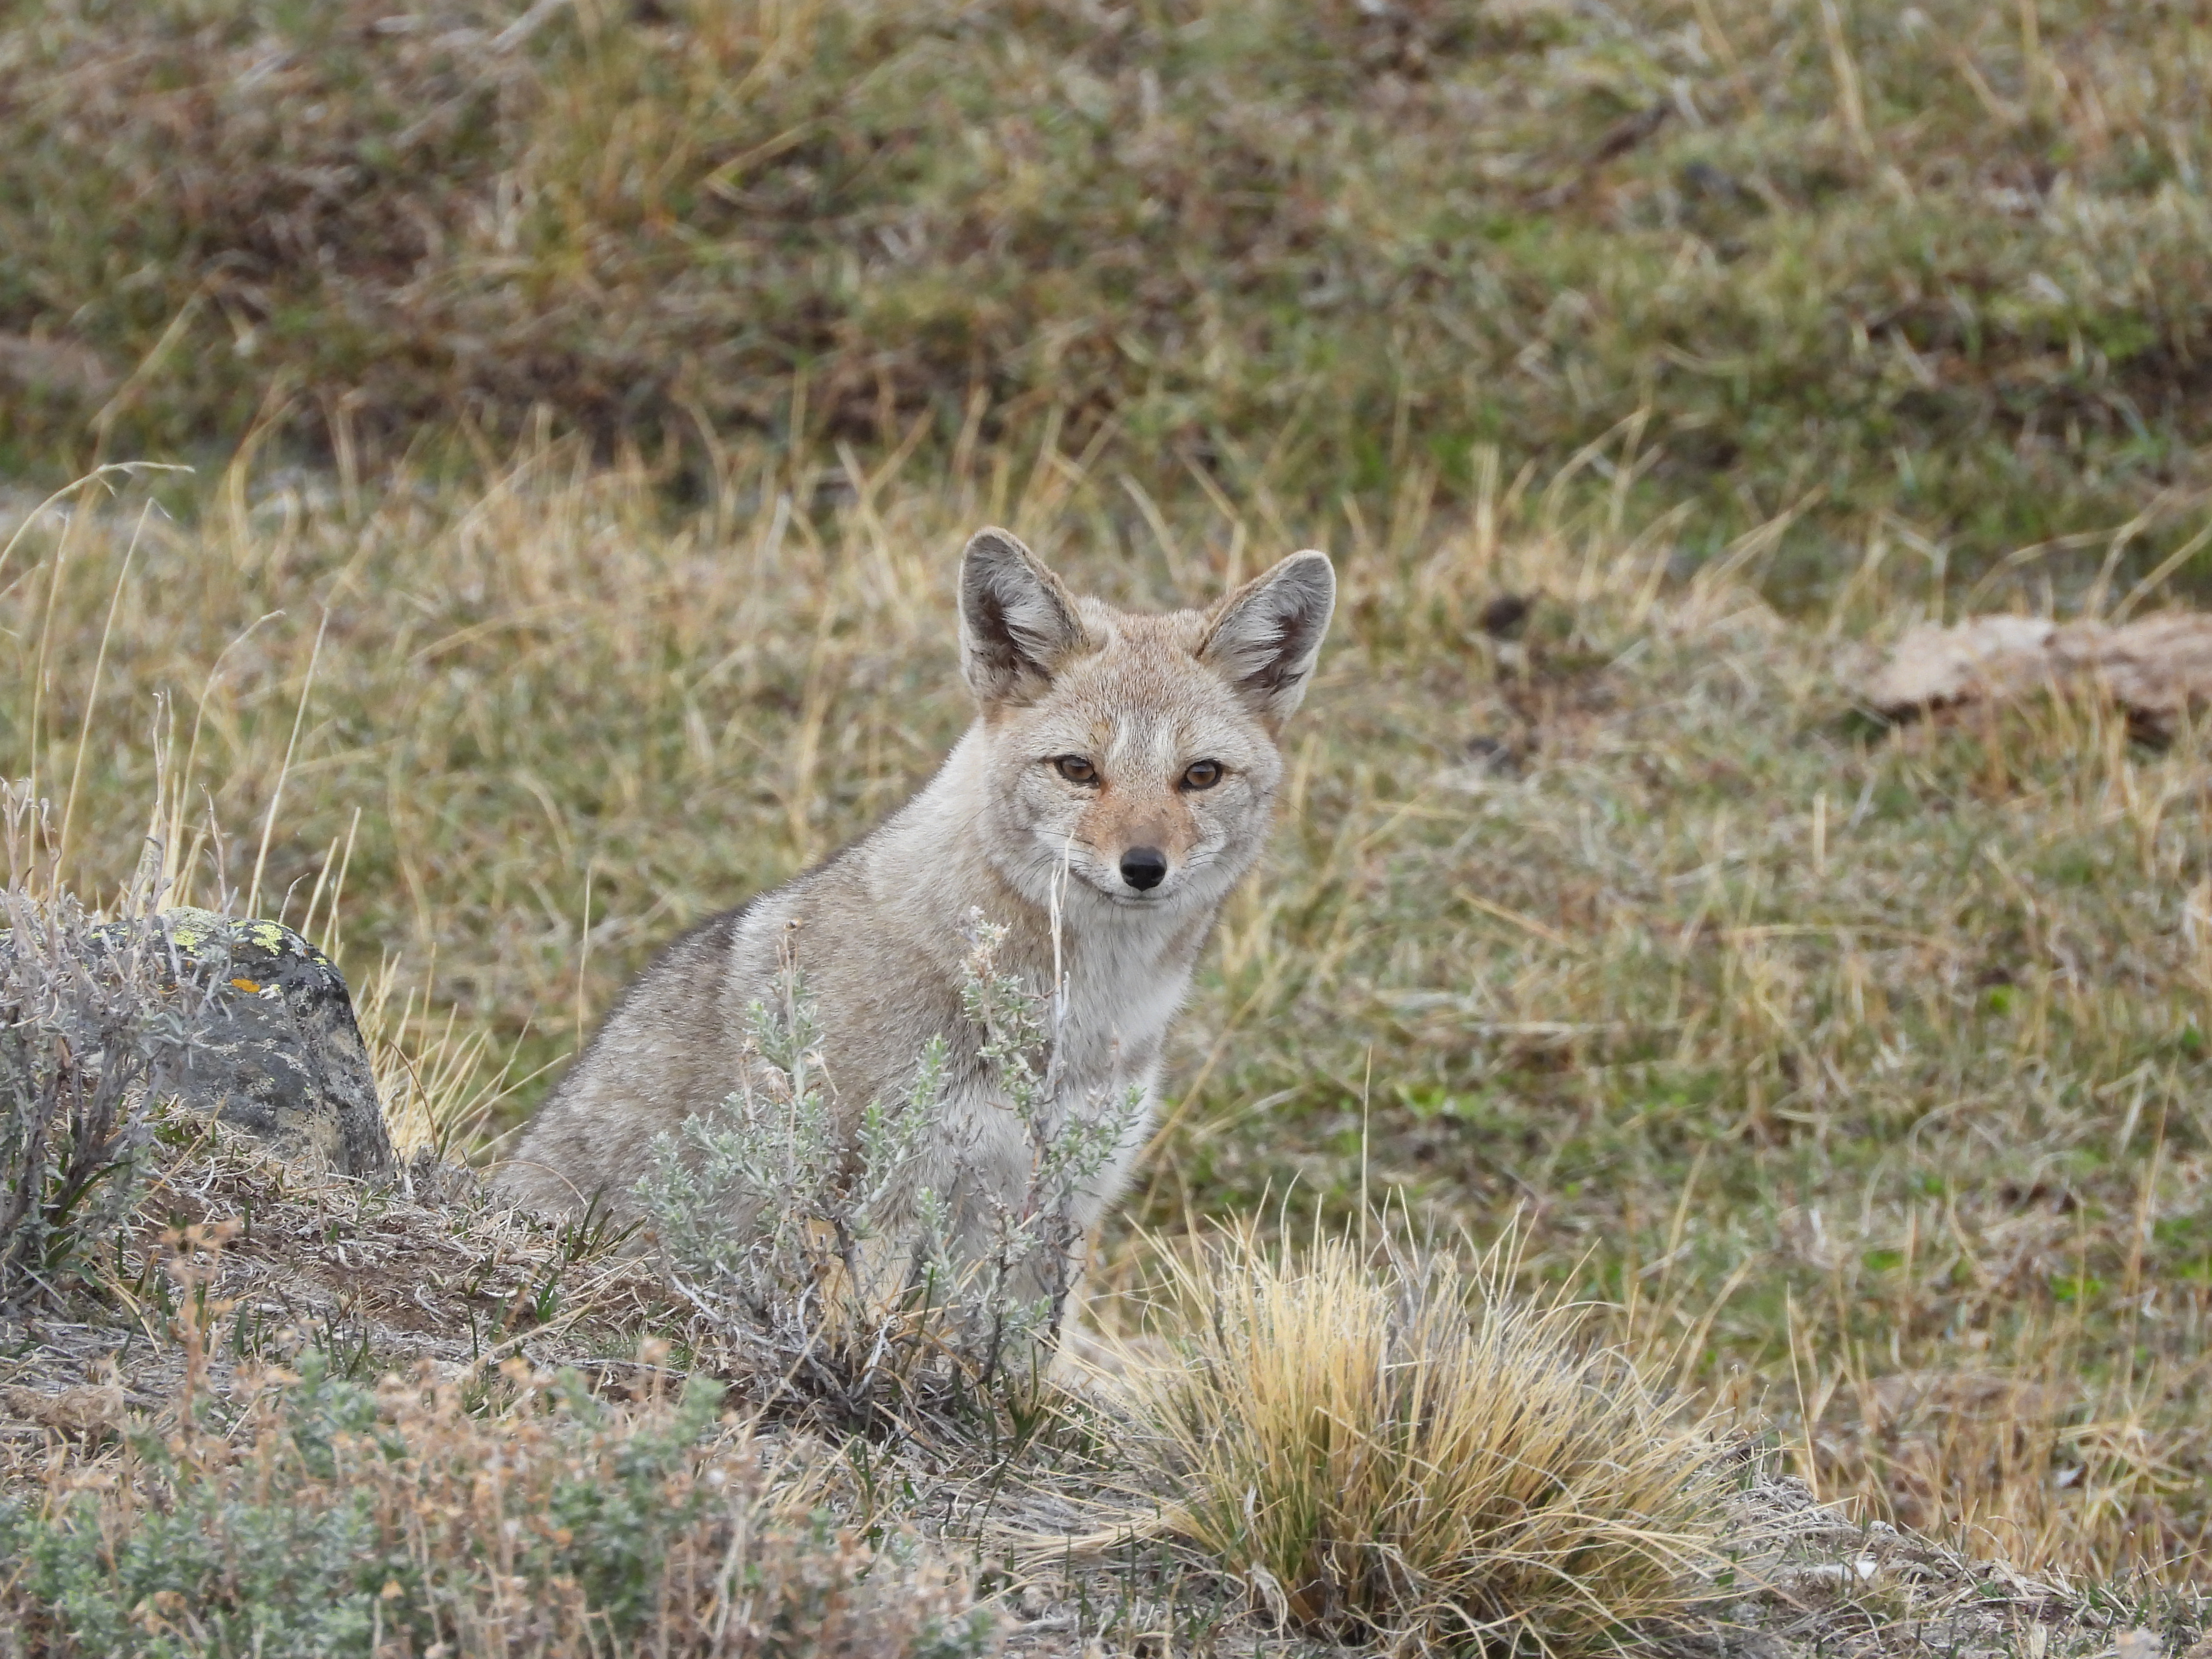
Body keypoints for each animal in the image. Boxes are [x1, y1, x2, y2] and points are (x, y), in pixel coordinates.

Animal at [492, 527, 1334, 1305]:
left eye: (1201, 776)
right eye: (1078, 770)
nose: (1144, 868)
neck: (1078, 1021)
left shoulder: (1056, 1213)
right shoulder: (881, 1206)